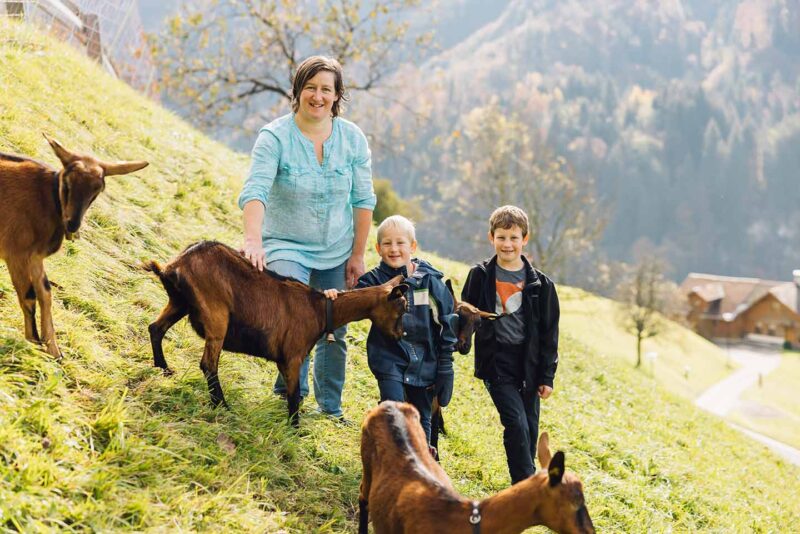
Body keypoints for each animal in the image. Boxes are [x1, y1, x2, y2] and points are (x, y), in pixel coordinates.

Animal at [0, 136, 148, 358]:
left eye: (97, 190)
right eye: (68, 183)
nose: (73, 224)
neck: (48, 201)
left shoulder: (34, 258)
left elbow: (46, 293)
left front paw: (53, 350)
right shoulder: (16, 253)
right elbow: (29, 296)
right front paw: (34, 342)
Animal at [144, 243, 410, 428]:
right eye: (402, 308)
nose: (400, 335)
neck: (321, 309)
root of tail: (175, 266)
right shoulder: (293, 356)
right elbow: (293, 395)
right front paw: (294, 429)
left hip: (180, 302)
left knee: (155, 328)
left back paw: (164, 369)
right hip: (217, 315)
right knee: (208, 364)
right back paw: (222, 404)